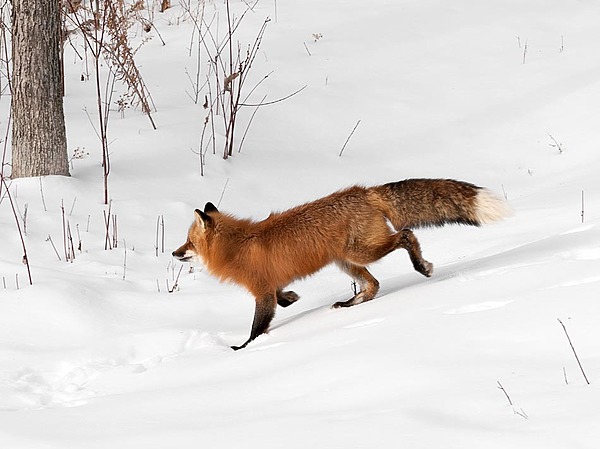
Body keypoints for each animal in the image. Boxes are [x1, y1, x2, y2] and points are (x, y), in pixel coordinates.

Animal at [172, 178, 510, 350]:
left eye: (188, 243)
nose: (174, 253)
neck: (238, 246)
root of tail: (364, 192)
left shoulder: (261, 291)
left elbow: (258, 326)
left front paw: (241, 348)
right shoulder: (270, 286)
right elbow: (282, 300)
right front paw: (292, 298)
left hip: (362, 252)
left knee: (406, 235)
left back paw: (421, 266)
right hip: (346, 262)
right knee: (373, 285)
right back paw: (349, 304)